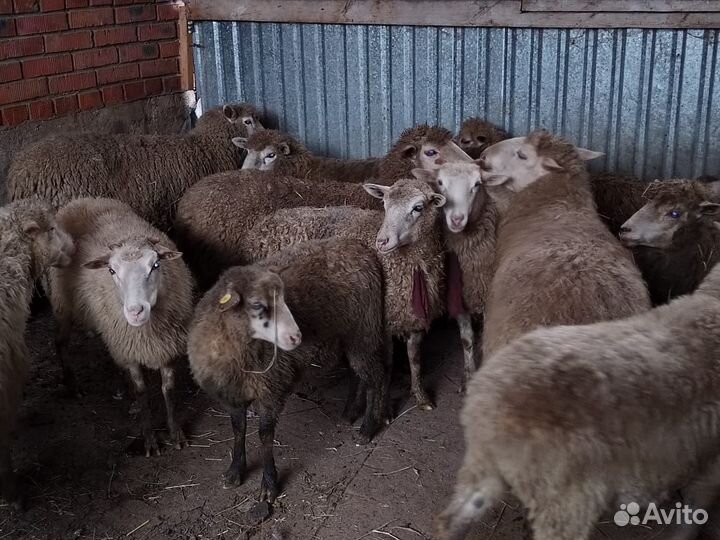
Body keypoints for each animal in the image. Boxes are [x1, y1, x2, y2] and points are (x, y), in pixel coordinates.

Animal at [47, 198, 194, 457]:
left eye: (156, 265)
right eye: (111, 270)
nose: (135, 311)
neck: (147, 332)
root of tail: (81, 200)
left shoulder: (166, 348)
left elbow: (168, 390)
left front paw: (175, 434)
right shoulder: (130, 349)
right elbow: (142, 391)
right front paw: (149, 440)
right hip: (62, 303)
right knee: (60, 342)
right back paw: (72, 385)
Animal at [188, 238, 388, 502]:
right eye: (256, 305)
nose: (296, 337)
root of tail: (359, 247)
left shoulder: (272, 386)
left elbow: (264, 434)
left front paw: (269, 484)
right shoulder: (233, 392)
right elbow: (238, 428)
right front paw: (235, 471)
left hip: (364, 330)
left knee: (375, 378)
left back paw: (368, 428)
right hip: (349, 335)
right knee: (359, 374)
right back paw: (350, 411)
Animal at [242, 178, 447, 410]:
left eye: (418, 208)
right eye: (384, 204)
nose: (382, 241)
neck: (411, 265)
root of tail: (263, 224)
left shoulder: (414, 318)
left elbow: (415, 359)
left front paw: (422, 397)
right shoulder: (382, 319)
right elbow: (387, 362)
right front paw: (383, 406)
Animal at [411, 163, 498, 390]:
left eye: (477, 184)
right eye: (440, 182)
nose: (457, 219)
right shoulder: (459, 295)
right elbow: (466, 339)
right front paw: (468, 377)